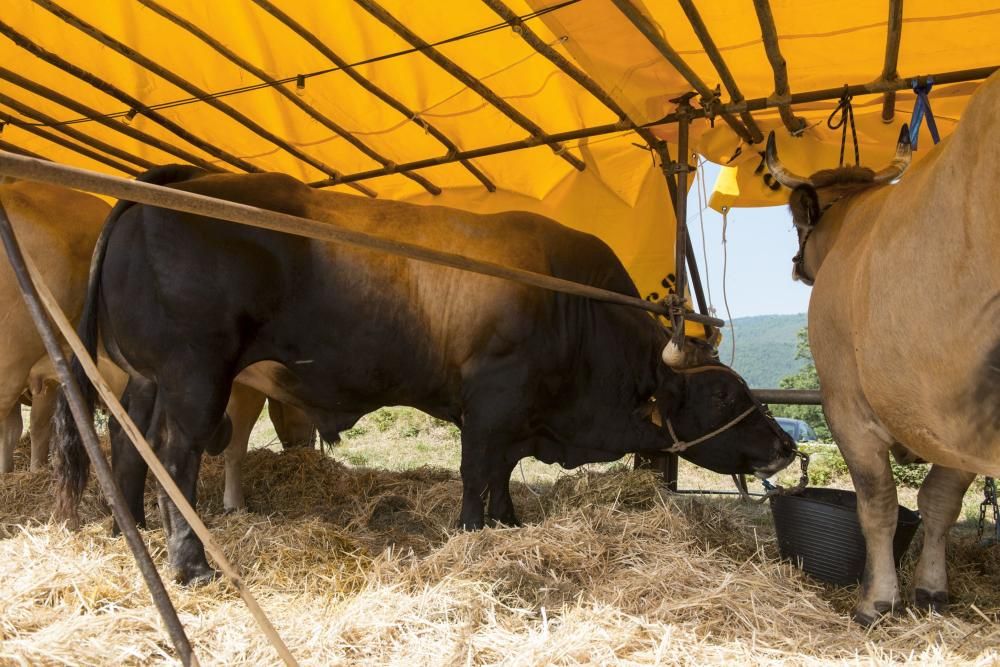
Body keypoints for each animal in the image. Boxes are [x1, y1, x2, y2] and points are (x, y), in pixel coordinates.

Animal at [768, 70, 996, 624]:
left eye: (797, 222)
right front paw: (932, 590)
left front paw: (877, 600)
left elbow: (879, 504)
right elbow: (939, 502)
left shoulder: (846, 405)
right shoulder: (954, 429)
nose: (796, 264)